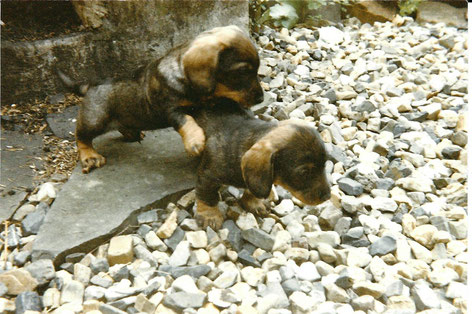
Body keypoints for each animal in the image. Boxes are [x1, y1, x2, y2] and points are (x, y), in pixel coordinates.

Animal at [57, 25, 264, 173]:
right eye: (242, 72)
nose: (261, 99)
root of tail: (90, 85)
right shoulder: (169, 109)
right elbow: (185, 119)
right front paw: (195, 141)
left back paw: (131, 133)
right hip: (95, 120)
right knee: (81, 136)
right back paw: (90, 156)